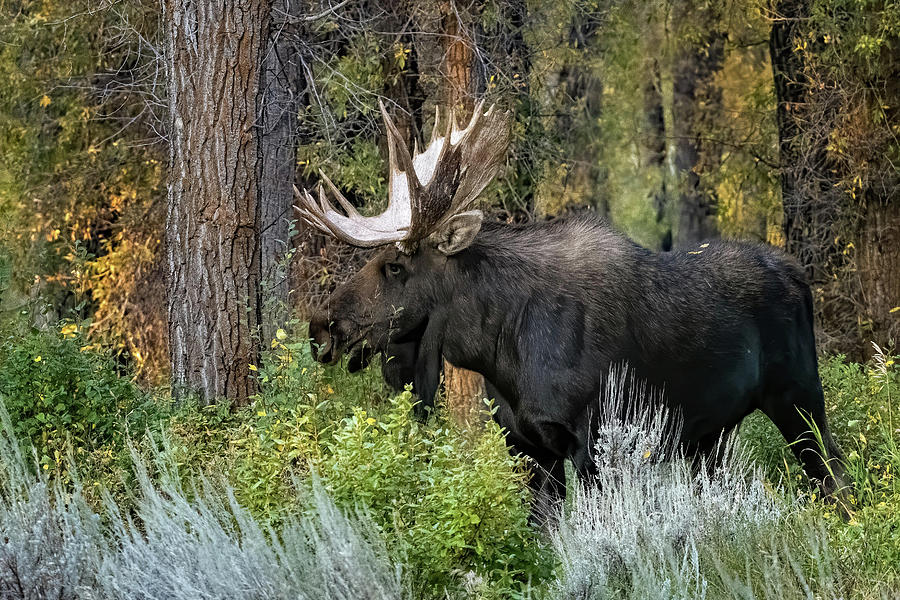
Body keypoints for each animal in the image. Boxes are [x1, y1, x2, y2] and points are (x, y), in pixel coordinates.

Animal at [294, 98, 844, 516]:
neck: (500, 347)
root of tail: (800, 277)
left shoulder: (594, 439)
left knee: (832, 472)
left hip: (798, 396)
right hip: (713, 433)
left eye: (394, 265)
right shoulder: (527, 446)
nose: (322, 327)